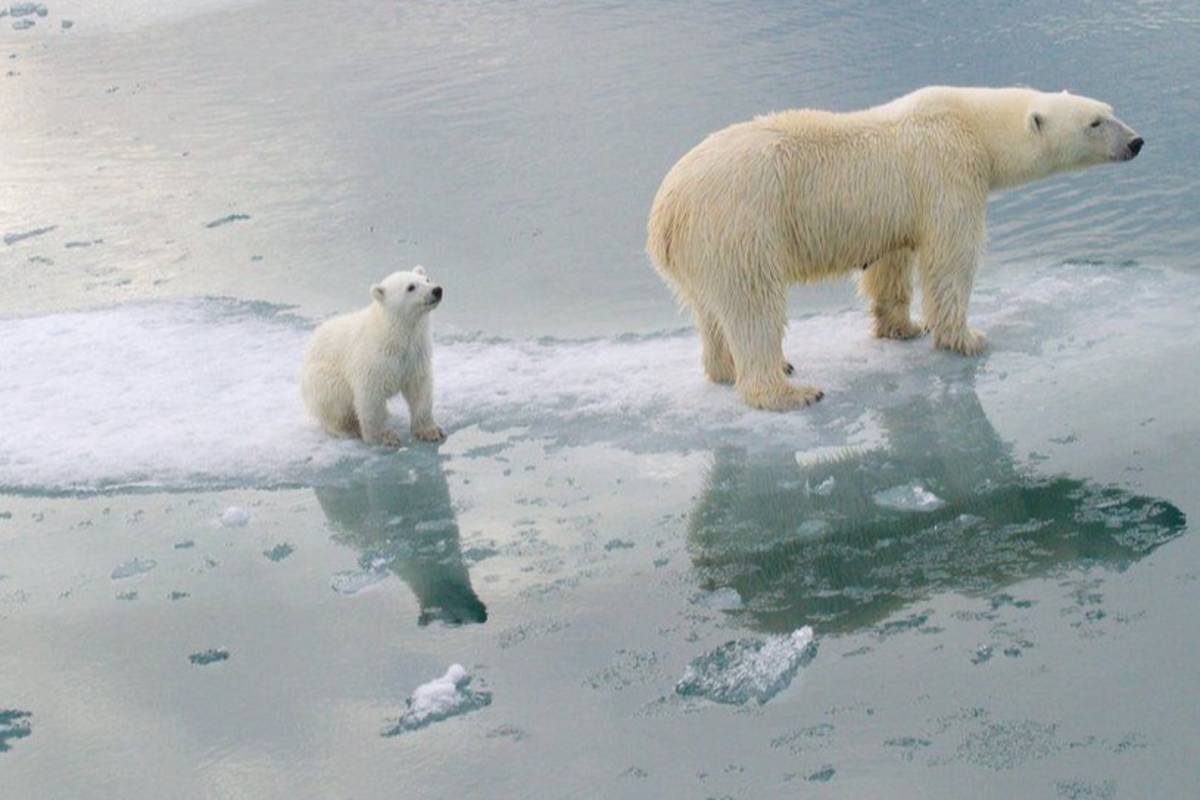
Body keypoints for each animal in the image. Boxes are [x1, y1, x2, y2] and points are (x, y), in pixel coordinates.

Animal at [301, 267, 446, 445]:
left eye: (427, 279)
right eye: (410, 287)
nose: (437, 290)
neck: (394, 334)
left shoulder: (415, 355)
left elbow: (420, 389)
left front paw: (430, 431)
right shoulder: (373, 358)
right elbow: (371, 396)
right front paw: (385, 436)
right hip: (322, 378)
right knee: (334, 400)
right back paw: (346, 429)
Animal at [646, 86, 1143, 411]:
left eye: (1109, 110)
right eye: (1095, 122)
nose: (1137, 141)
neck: (972, 122)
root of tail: (666, 211)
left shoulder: (896, 210)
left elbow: (891, 263)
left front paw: (903, 327)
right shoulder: (947, 172)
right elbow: (951, 257)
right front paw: (967, 337)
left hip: (700, 251)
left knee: (710, 311)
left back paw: (726, 369)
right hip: (739, 225)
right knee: (753, 305)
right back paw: (789, 389)